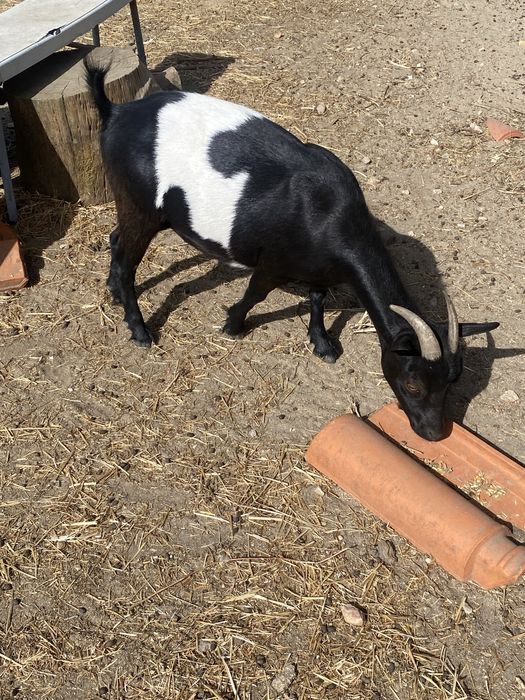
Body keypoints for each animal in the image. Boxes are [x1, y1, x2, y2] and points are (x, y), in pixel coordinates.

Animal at [85, 64, 498, 441]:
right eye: (413, 384)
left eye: (453, 381)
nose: (434, 433)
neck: (328, 214)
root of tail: (115, 111)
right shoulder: (272, 264)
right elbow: (255, 294)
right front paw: (233, 325)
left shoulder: (319, 268)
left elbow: (317, 299)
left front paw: (323, 344)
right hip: (140, 205)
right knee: (128, 257)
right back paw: (139, 329)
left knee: (116, 240)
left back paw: (115, 292)